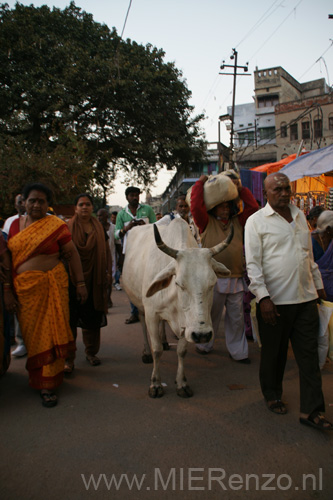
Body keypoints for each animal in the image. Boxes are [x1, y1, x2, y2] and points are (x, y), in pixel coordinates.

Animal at [120, 219, 232, 398]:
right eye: (179, 283)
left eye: (213, 283)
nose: (202, 335)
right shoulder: (152, 314)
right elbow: (157, 350)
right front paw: (155, 384)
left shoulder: (187, 324)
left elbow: (181, 351)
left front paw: (182, 383)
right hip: (139, 304)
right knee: (143, 326)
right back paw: (146, 352)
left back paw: (165, 341)